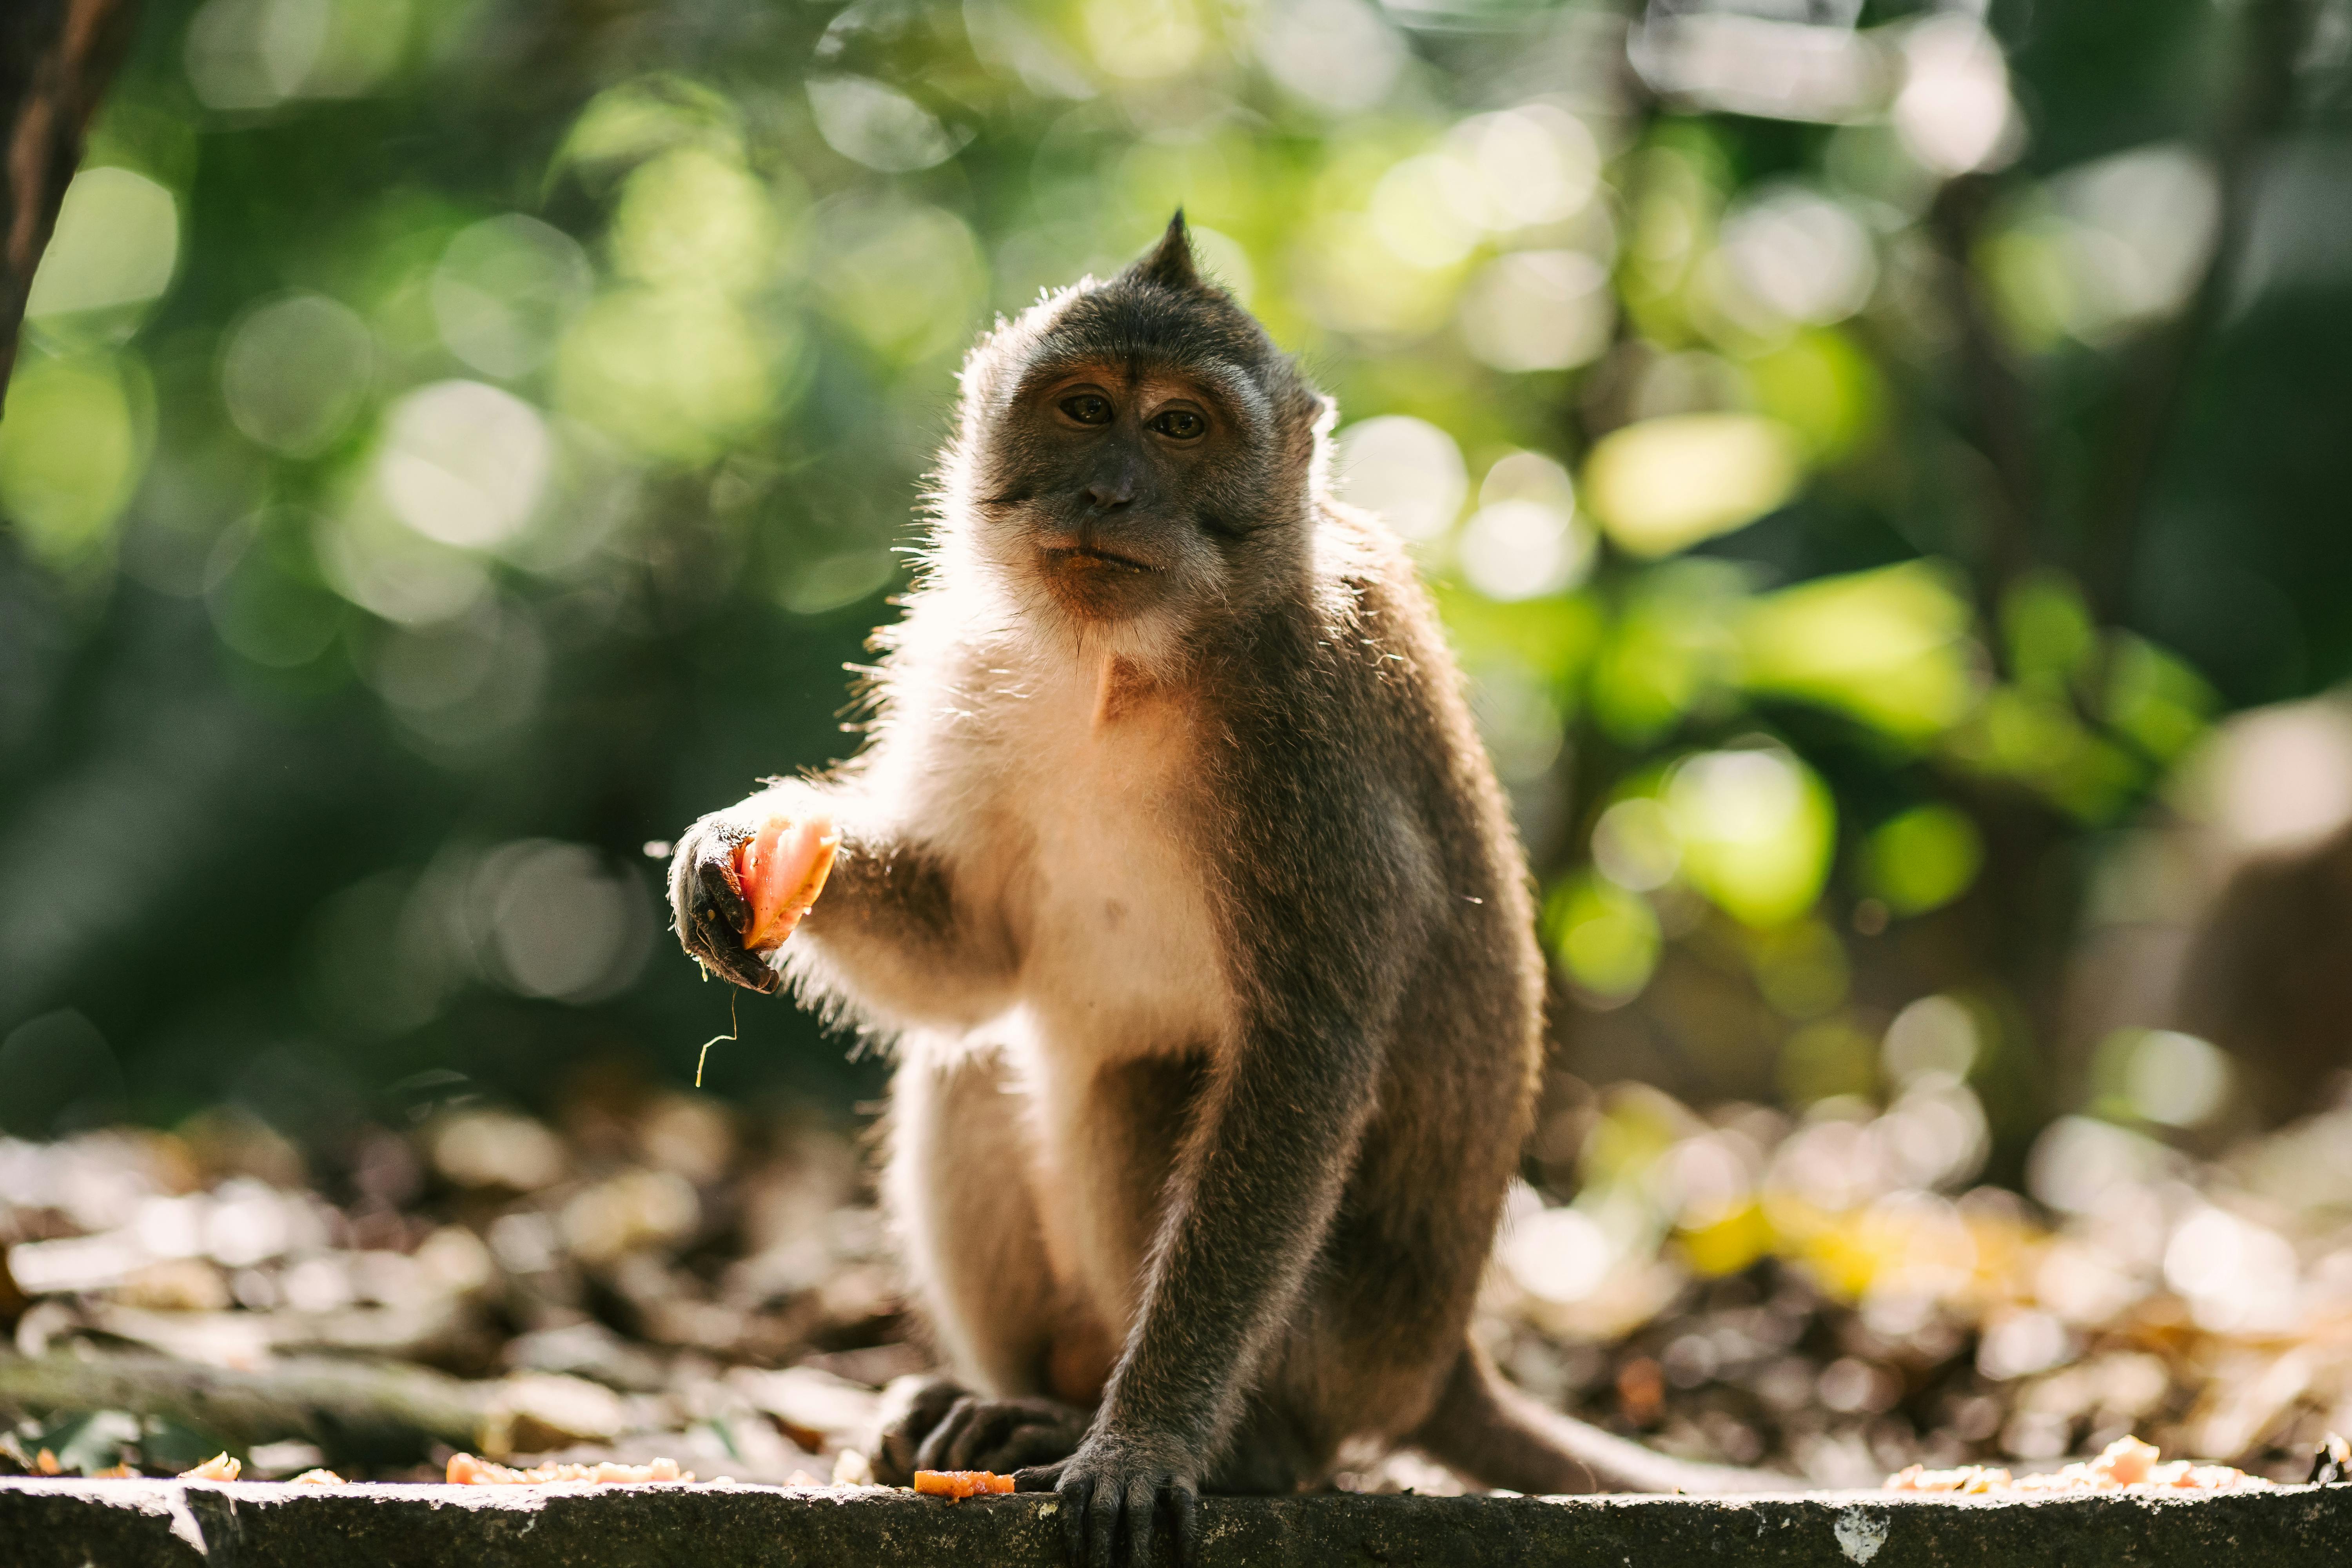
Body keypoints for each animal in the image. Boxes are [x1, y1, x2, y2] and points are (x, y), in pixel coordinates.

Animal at [673, 217, 1769, 1568]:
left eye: (1183, 427)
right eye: (1085, 408)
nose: (1108, 491)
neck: (1125, 663)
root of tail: (1442, 1363)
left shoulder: (1308, 733)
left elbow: (1303, 1060)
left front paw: (1143, 1446)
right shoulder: (964, 658)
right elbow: (974, 954)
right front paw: (741, 847)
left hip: (1339, 1347)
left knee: (1141, 1090)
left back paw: (1223, 1448)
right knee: (977, 1057)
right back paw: (1005, 1405)